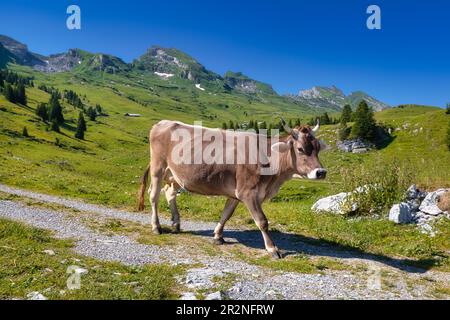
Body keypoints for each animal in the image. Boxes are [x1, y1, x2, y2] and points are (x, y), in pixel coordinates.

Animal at [137, 119, 326, 258]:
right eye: (300, 149)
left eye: (317, 148)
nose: (321, 172)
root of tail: (163, 123)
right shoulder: (248, 193)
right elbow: (262, 221)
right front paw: (273, 249)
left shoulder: (236, 193)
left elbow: (226, 214)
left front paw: (218, 236)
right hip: (158, 167)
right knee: (154, 196)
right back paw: (156, 227)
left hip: (175, 175)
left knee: (170, 194)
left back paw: (176, 223)